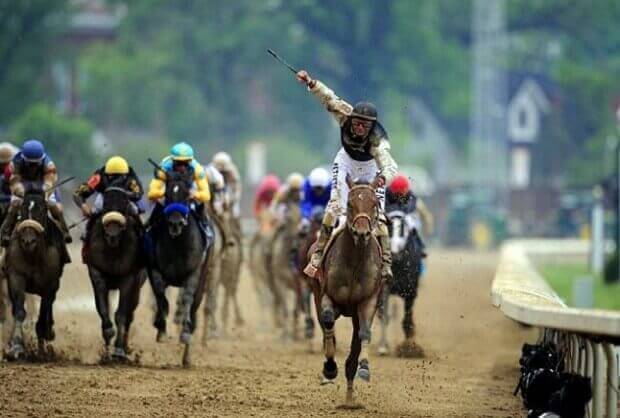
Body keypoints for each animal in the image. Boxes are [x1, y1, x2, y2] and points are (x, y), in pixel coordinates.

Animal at [4, 187, 69, 359]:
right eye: (23, 211)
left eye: (41, 211)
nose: (28, 241)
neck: (33, 255)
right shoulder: (16, 276)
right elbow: (19, 311)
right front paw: (17, 347)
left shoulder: (50, 284)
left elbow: (43, 313)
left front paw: (42, 349)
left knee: (49, 307)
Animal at [84, 186, 146, 360]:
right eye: (105, 206)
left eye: (124, 206)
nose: (112, 234)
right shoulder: (96, 272)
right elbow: (103, 308)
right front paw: (107, 342)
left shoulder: (130, 277)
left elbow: (121, 314)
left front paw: (119, 350)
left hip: (138, 287)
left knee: (130, 314)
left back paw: (125, 348)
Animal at [147, 171, 212, 367]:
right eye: (168, 194)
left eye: (186, 195)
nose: (175, 223)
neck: (177, 245)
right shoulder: (155, 269)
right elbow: (161, 297)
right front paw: (161, 328)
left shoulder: (193, 273)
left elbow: (187, 300)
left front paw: (184, 333)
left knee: (194, 309)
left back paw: (187, 355)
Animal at [308, 175, 384, 406]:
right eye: (350, 204)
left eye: (374, 204)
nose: (362, 233)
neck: (355, 262)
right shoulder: (327, 296)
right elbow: (327, 321)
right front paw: (330, 368)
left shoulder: (368, 301)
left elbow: (364, 333)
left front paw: (364, 369)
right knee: (324, 325)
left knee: (355, 343)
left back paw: (350, 397)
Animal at [377, 209, 424, 357]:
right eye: (390, 230)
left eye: (404, 230)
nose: (395, 254)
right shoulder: (385, 287)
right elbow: (384, 315)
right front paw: (383, 347)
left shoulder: (411, 291)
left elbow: (407, 320)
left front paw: (410, 348)